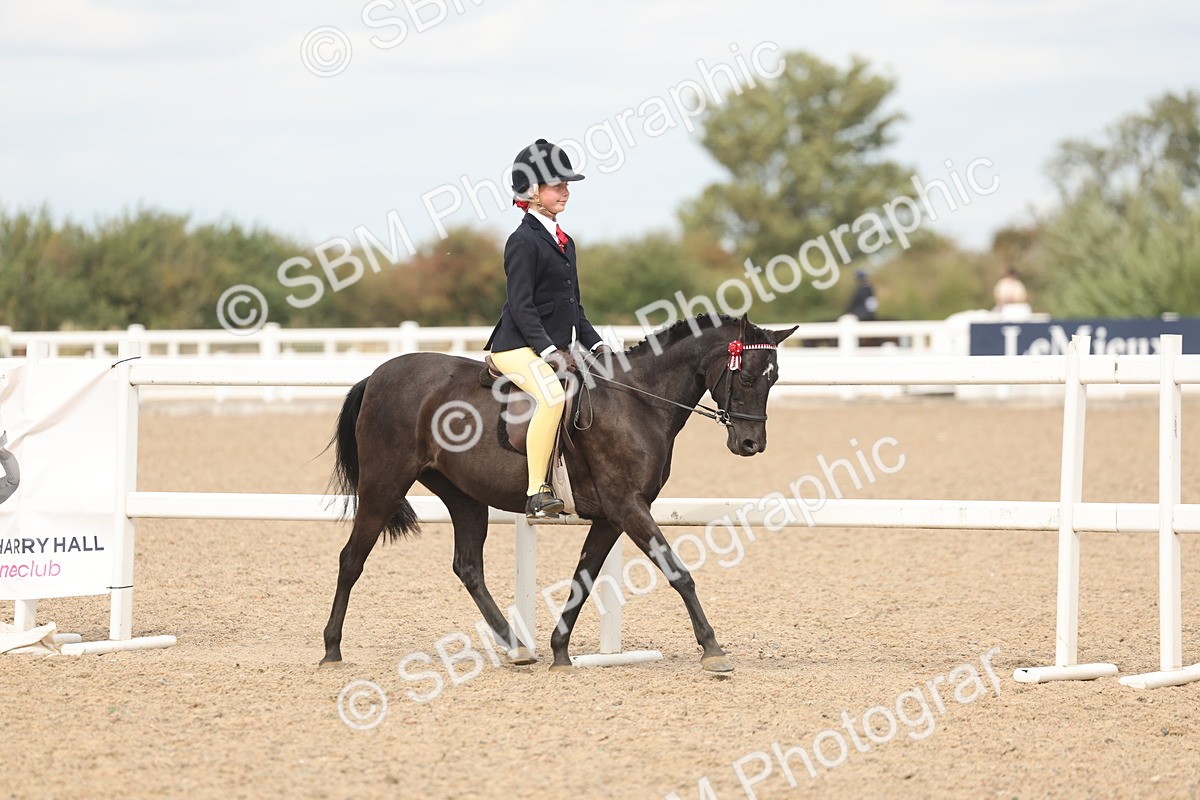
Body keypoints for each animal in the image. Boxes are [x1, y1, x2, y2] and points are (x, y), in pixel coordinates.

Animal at [321, 313, 798, 672]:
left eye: (773, 380)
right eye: (748, 377)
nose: (751, 444)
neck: (637, 401)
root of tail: (378, 374)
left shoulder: (611, 515)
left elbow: (583, 579)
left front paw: (560, 652)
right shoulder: (628, 507)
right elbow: (677, 571)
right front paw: (713, 649)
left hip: (464, 495)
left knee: (468, 567)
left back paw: (517, 647)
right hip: (384, 484)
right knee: (351, 559)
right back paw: (331, 648)